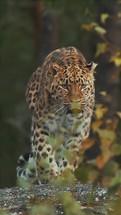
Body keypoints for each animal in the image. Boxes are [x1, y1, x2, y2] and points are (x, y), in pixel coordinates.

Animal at [16, 46, 97, 184]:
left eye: (83, 86)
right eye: (64, 86)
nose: (75, 101)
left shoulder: (79, 129)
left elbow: (71, 153)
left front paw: (64, 176)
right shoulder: (42, 123)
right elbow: (42, 150)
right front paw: (48, 175)